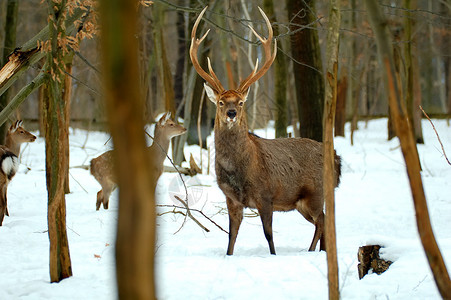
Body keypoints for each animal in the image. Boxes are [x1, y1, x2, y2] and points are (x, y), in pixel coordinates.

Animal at [191, 7, 342, 254]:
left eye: (241, 102)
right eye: (221, 102)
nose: (231, 113)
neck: (239, 170)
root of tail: (338, 160)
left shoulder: (266, 195)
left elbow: (269, 235)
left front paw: (273, 255)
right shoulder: (231, 199)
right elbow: (231, 236)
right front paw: (229, 256)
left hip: (316, 192)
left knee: (322, 220)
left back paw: (312, 251)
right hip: (301, 202)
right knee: (323, 221)